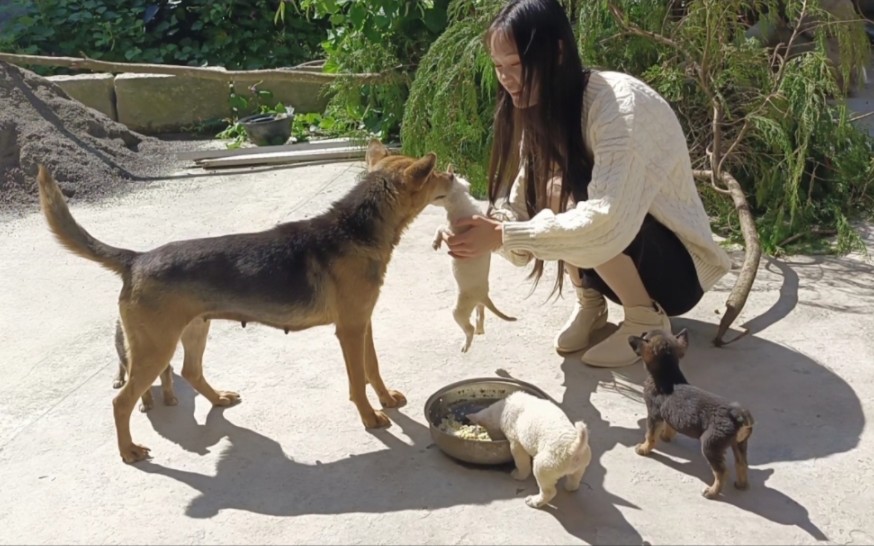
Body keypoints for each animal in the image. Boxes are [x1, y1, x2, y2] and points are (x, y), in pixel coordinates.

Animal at [37, 138, 454, 462]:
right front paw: (370, 417)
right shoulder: (349, 329)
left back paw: (218, 398)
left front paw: (386, 399)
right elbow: (357, 381)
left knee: (190, 372)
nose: (452, 174)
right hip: (154, 349)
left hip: (193, 331)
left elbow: (373, 368)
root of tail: (135, 259)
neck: (356, 228)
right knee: (122, 402)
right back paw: (129, 451)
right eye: (432, 174)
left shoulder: (363, 322)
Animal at [430, 172, 516, 350]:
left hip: (459, 309)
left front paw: (436, 241)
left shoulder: (454, 234)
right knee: (480, 316)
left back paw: (466, 344)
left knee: (468, 328)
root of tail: (483, 296)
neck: (461, 198)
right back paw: (480, 330)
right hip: (477, 305)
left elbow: (440, 227)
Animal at [628, 328, 748, 498]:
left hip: (710, 446)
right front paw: (666, 437)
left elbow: (650, 436)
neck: (668, 375)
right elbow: (669, 427)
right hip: (739, 445)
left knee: (721, 472)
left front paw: (644, 449)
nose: (632, 336)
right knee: (742, 464)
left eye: (644, 336)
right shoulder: (668, 415)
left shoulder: (653, 415)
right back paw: (741, 485)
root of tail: (738, 416)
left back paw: (712, 492)